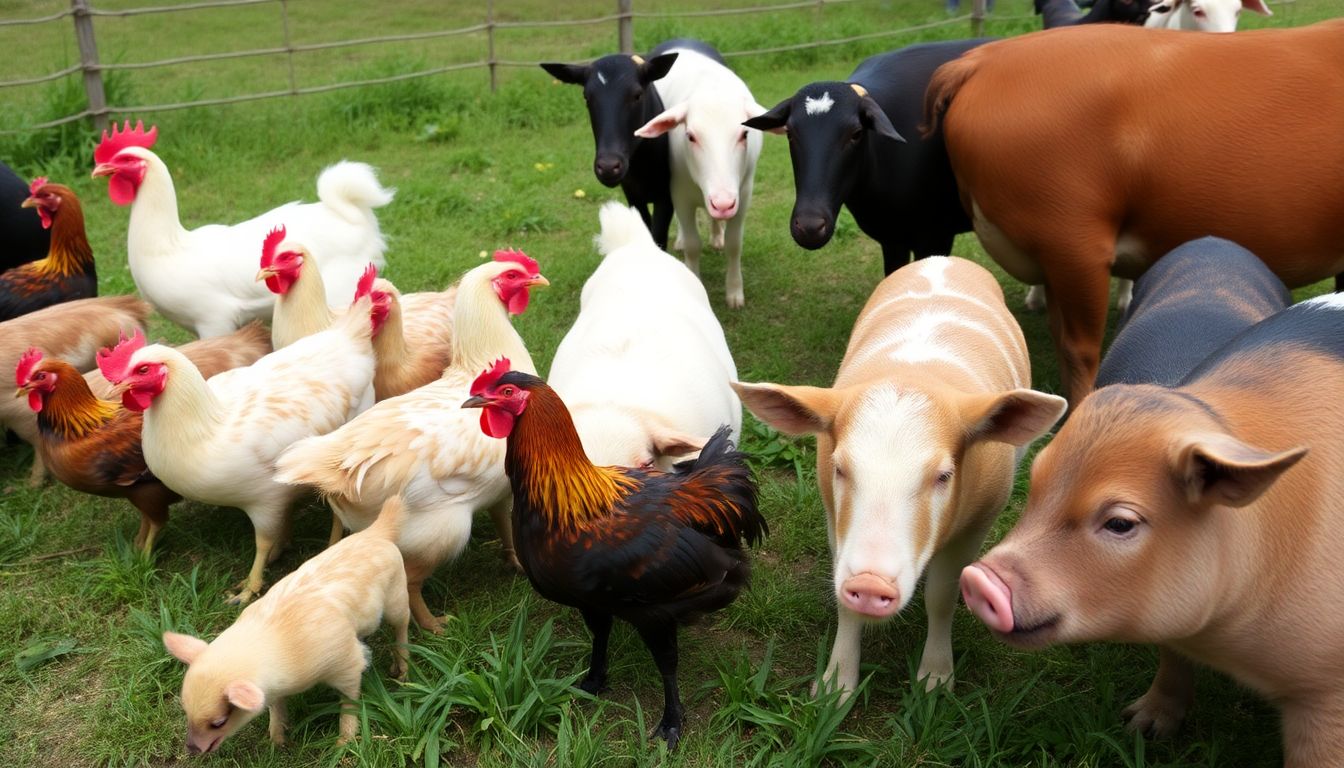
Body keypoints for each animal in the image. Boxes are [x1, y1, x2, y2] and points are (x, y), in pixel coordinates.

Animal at [956, 291, 1344, 763]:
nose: (975, 578)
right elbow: (1171, 661)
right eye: (1035, 484)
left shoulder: (1327, 697)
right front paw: (1141, 728)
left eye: (1121, 523)